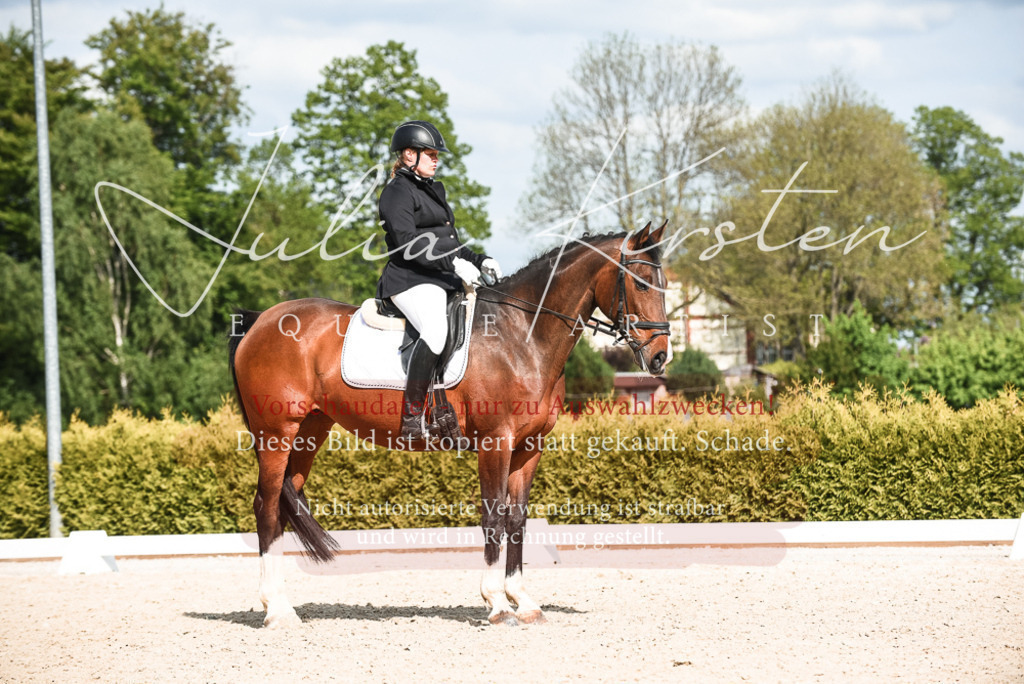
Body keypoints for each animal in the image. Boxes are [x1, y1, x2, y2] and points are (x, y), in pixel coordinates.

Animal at [227, 222, 672, 628]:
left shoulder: (529, 448)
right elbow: (493, 516)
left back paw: (282, 605)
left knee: (282, 506)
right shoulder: (496, 442)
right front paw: (496, 604)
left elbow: (516, 520)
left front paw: (523, 601)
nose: (660, 357)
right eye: (642, 284)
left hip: (309, 431)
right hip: (276, 433)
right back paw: (277, 611)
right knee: (266, 506)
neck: (522, 337)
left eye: (664, 285)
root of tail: (261, 320)